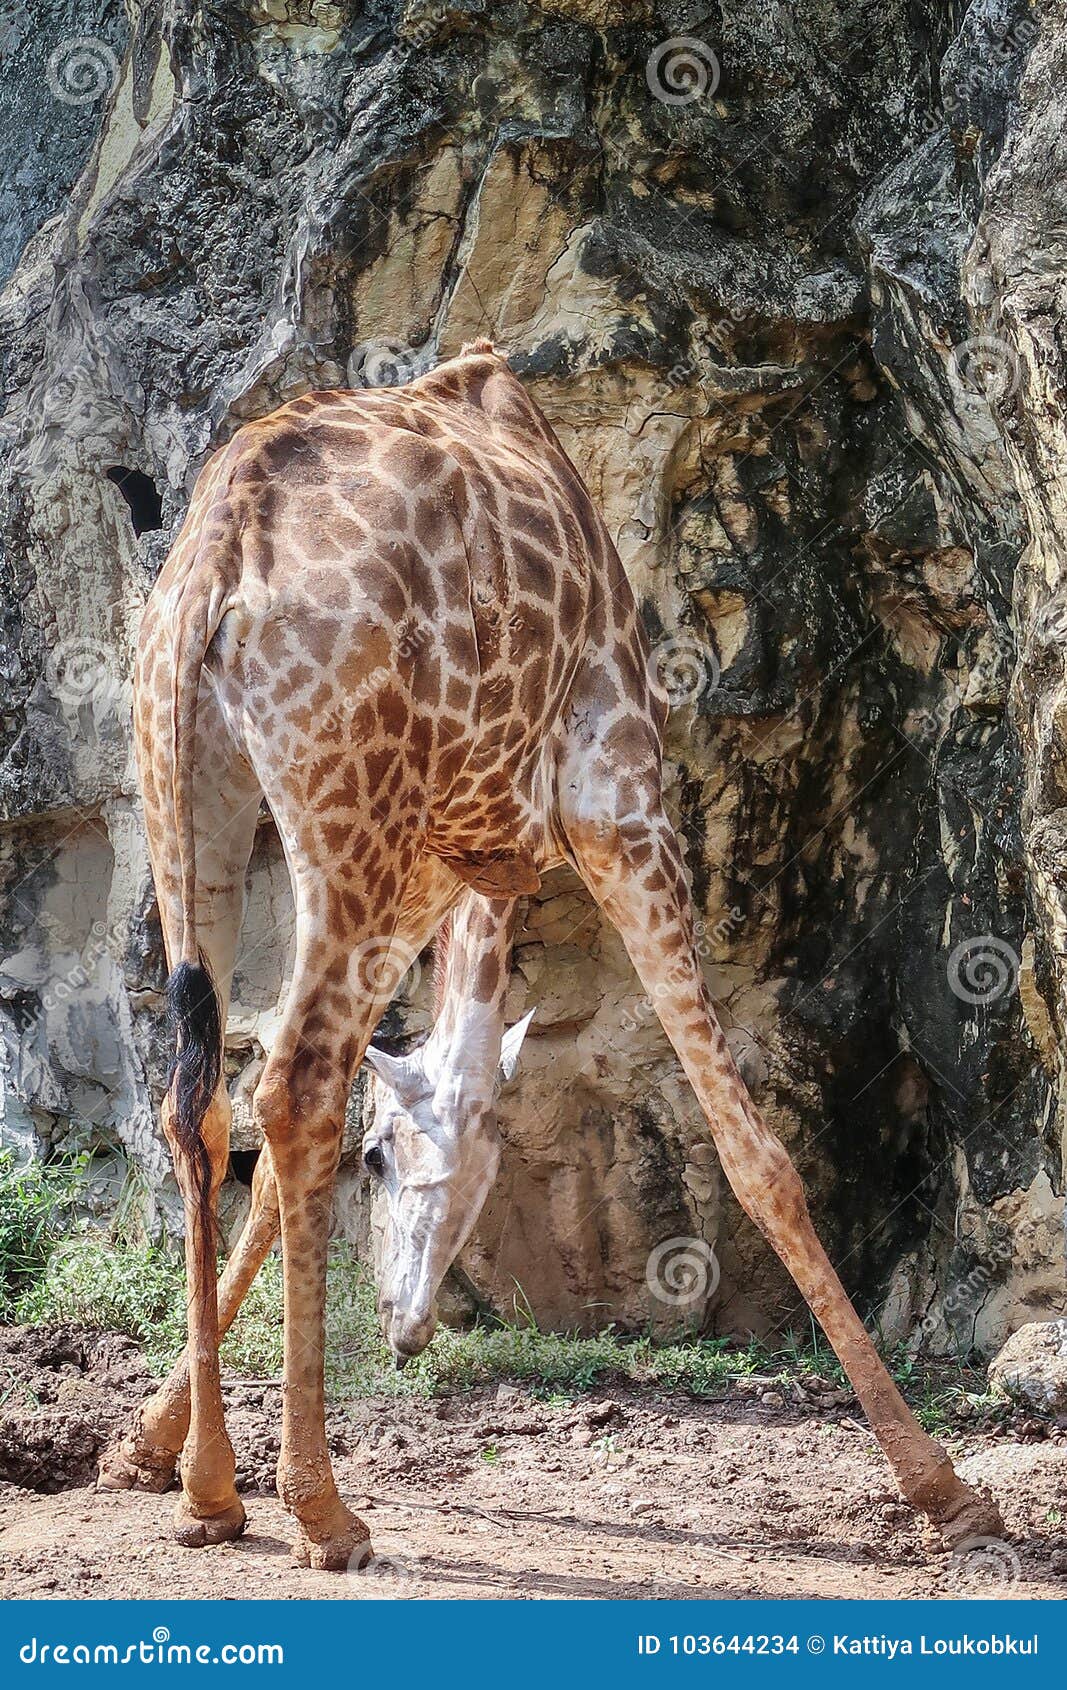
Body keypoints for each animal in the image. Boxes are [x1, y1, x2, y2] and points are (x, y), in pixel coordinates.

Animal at [105, 339, 1003, 1569]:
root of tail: (221, 556)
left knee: (201, 1099)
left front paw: (144, 1446)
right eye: (385, 1166)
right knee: (289, 1085)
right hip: (345, 810)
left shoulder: (438, 871)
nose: (406, 1330)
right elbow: (756, 1154)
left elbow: (298, 1146)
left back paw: (208, 1492)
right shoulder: (617, 804)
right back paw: (321, 1510)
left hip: (189, 792)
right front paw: (942, 1489)